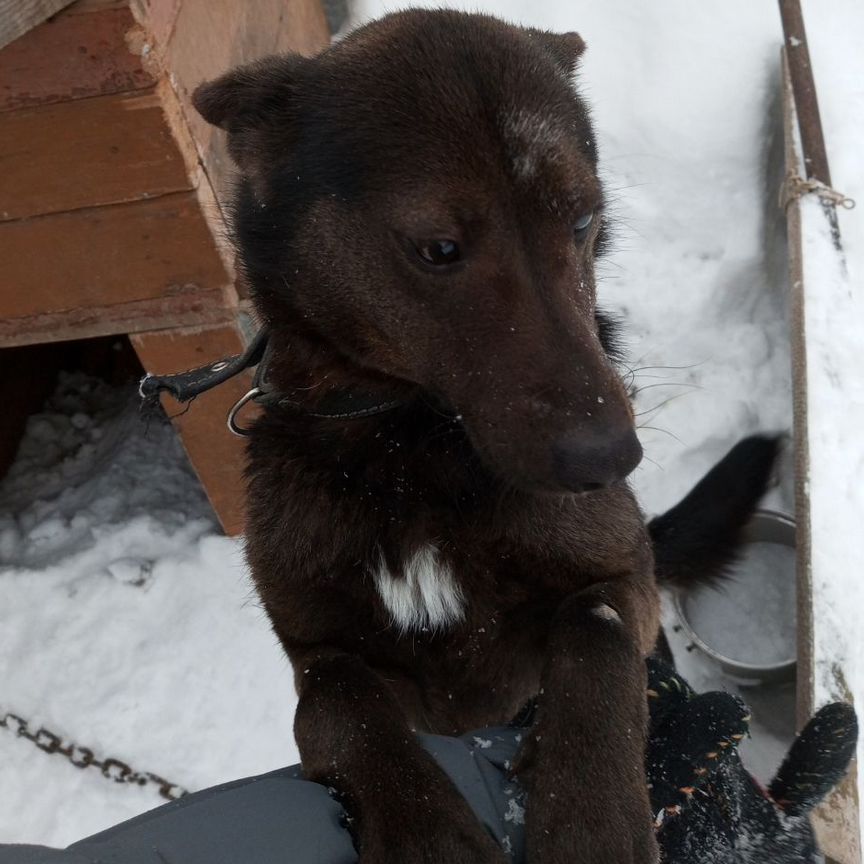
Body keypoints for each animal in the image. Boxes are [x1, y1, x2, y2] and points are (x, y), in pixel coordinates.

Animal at [192, 8, 660, 864]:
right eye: (438, 248)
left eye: (582, 220)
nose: (613, 460)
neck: (409, 445)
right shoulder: (318, 653)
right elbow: (342, 703)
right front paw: (427, 829)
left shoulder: (625, 573)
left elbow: (598, 633)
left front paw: (592, 819)